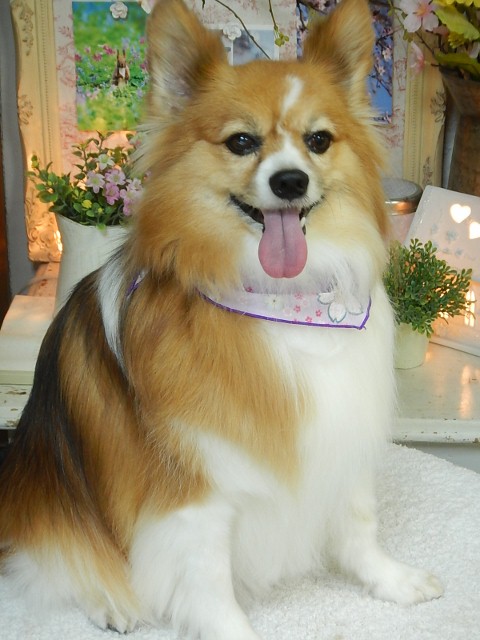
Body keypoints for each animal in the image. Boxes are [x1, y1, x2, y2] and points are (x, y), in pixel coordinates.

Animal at [0, 0, 443, 637]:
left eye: (319, 140)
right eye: (240, 141)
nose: (290, 180)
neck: (285, 303)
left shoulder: (341, 430)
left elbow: (359, 523)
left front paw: (388, 579)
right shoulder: (195, 488)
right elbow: (206, 579)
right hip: (53, 494)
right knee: (60, 555)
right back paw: (111, 600)